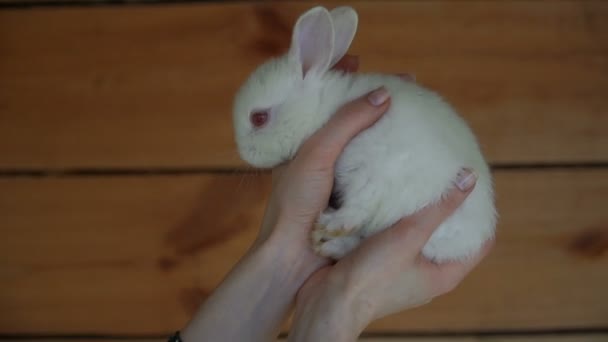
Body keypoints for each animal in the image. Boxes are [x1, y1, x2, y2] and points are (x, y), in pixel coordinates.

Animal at [230, 6, 496, 262]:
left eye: (258, 118)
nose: (244, 154)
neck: (320, 108)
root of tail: (472, 238)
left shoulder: (376, 168)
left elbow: (360, 208)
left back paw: (329, 232)